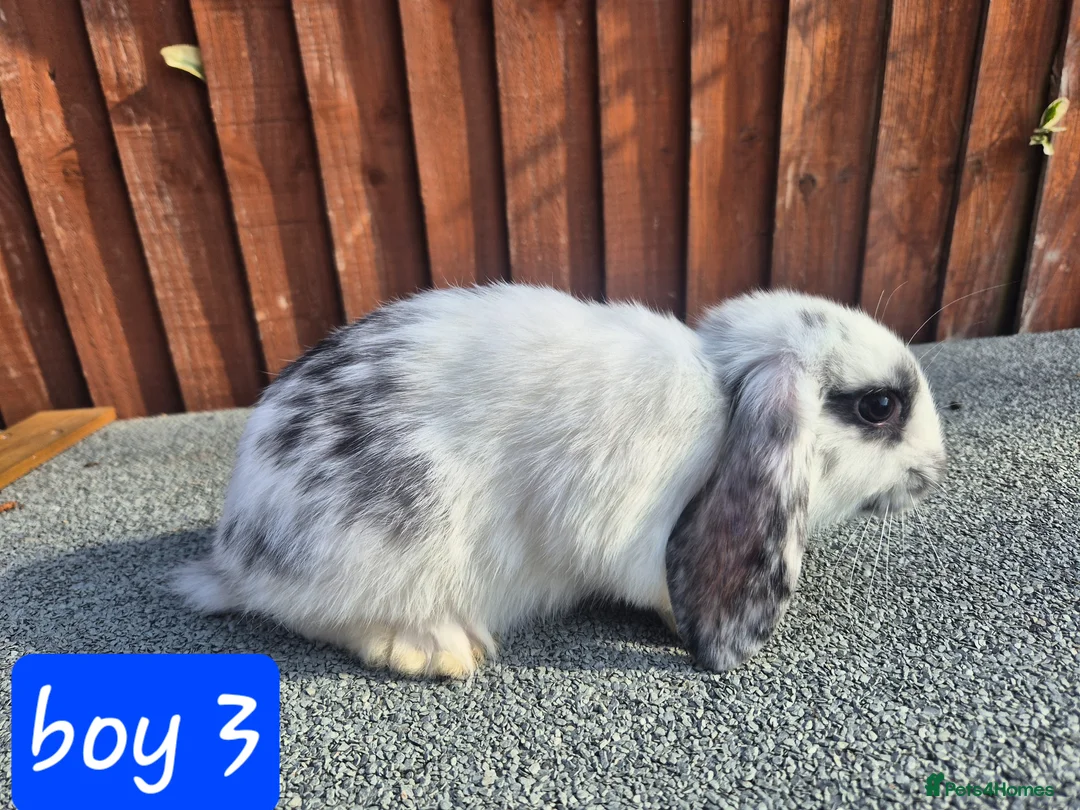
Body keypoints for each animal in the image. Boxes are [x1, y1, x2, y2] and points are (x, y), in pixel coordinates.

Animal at [173, 283, 947, 678]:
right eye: (879, 406)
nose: (936, 470)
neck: (724, 398)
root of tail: (237, 550)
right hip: (388, 543)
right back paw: (436, 648)